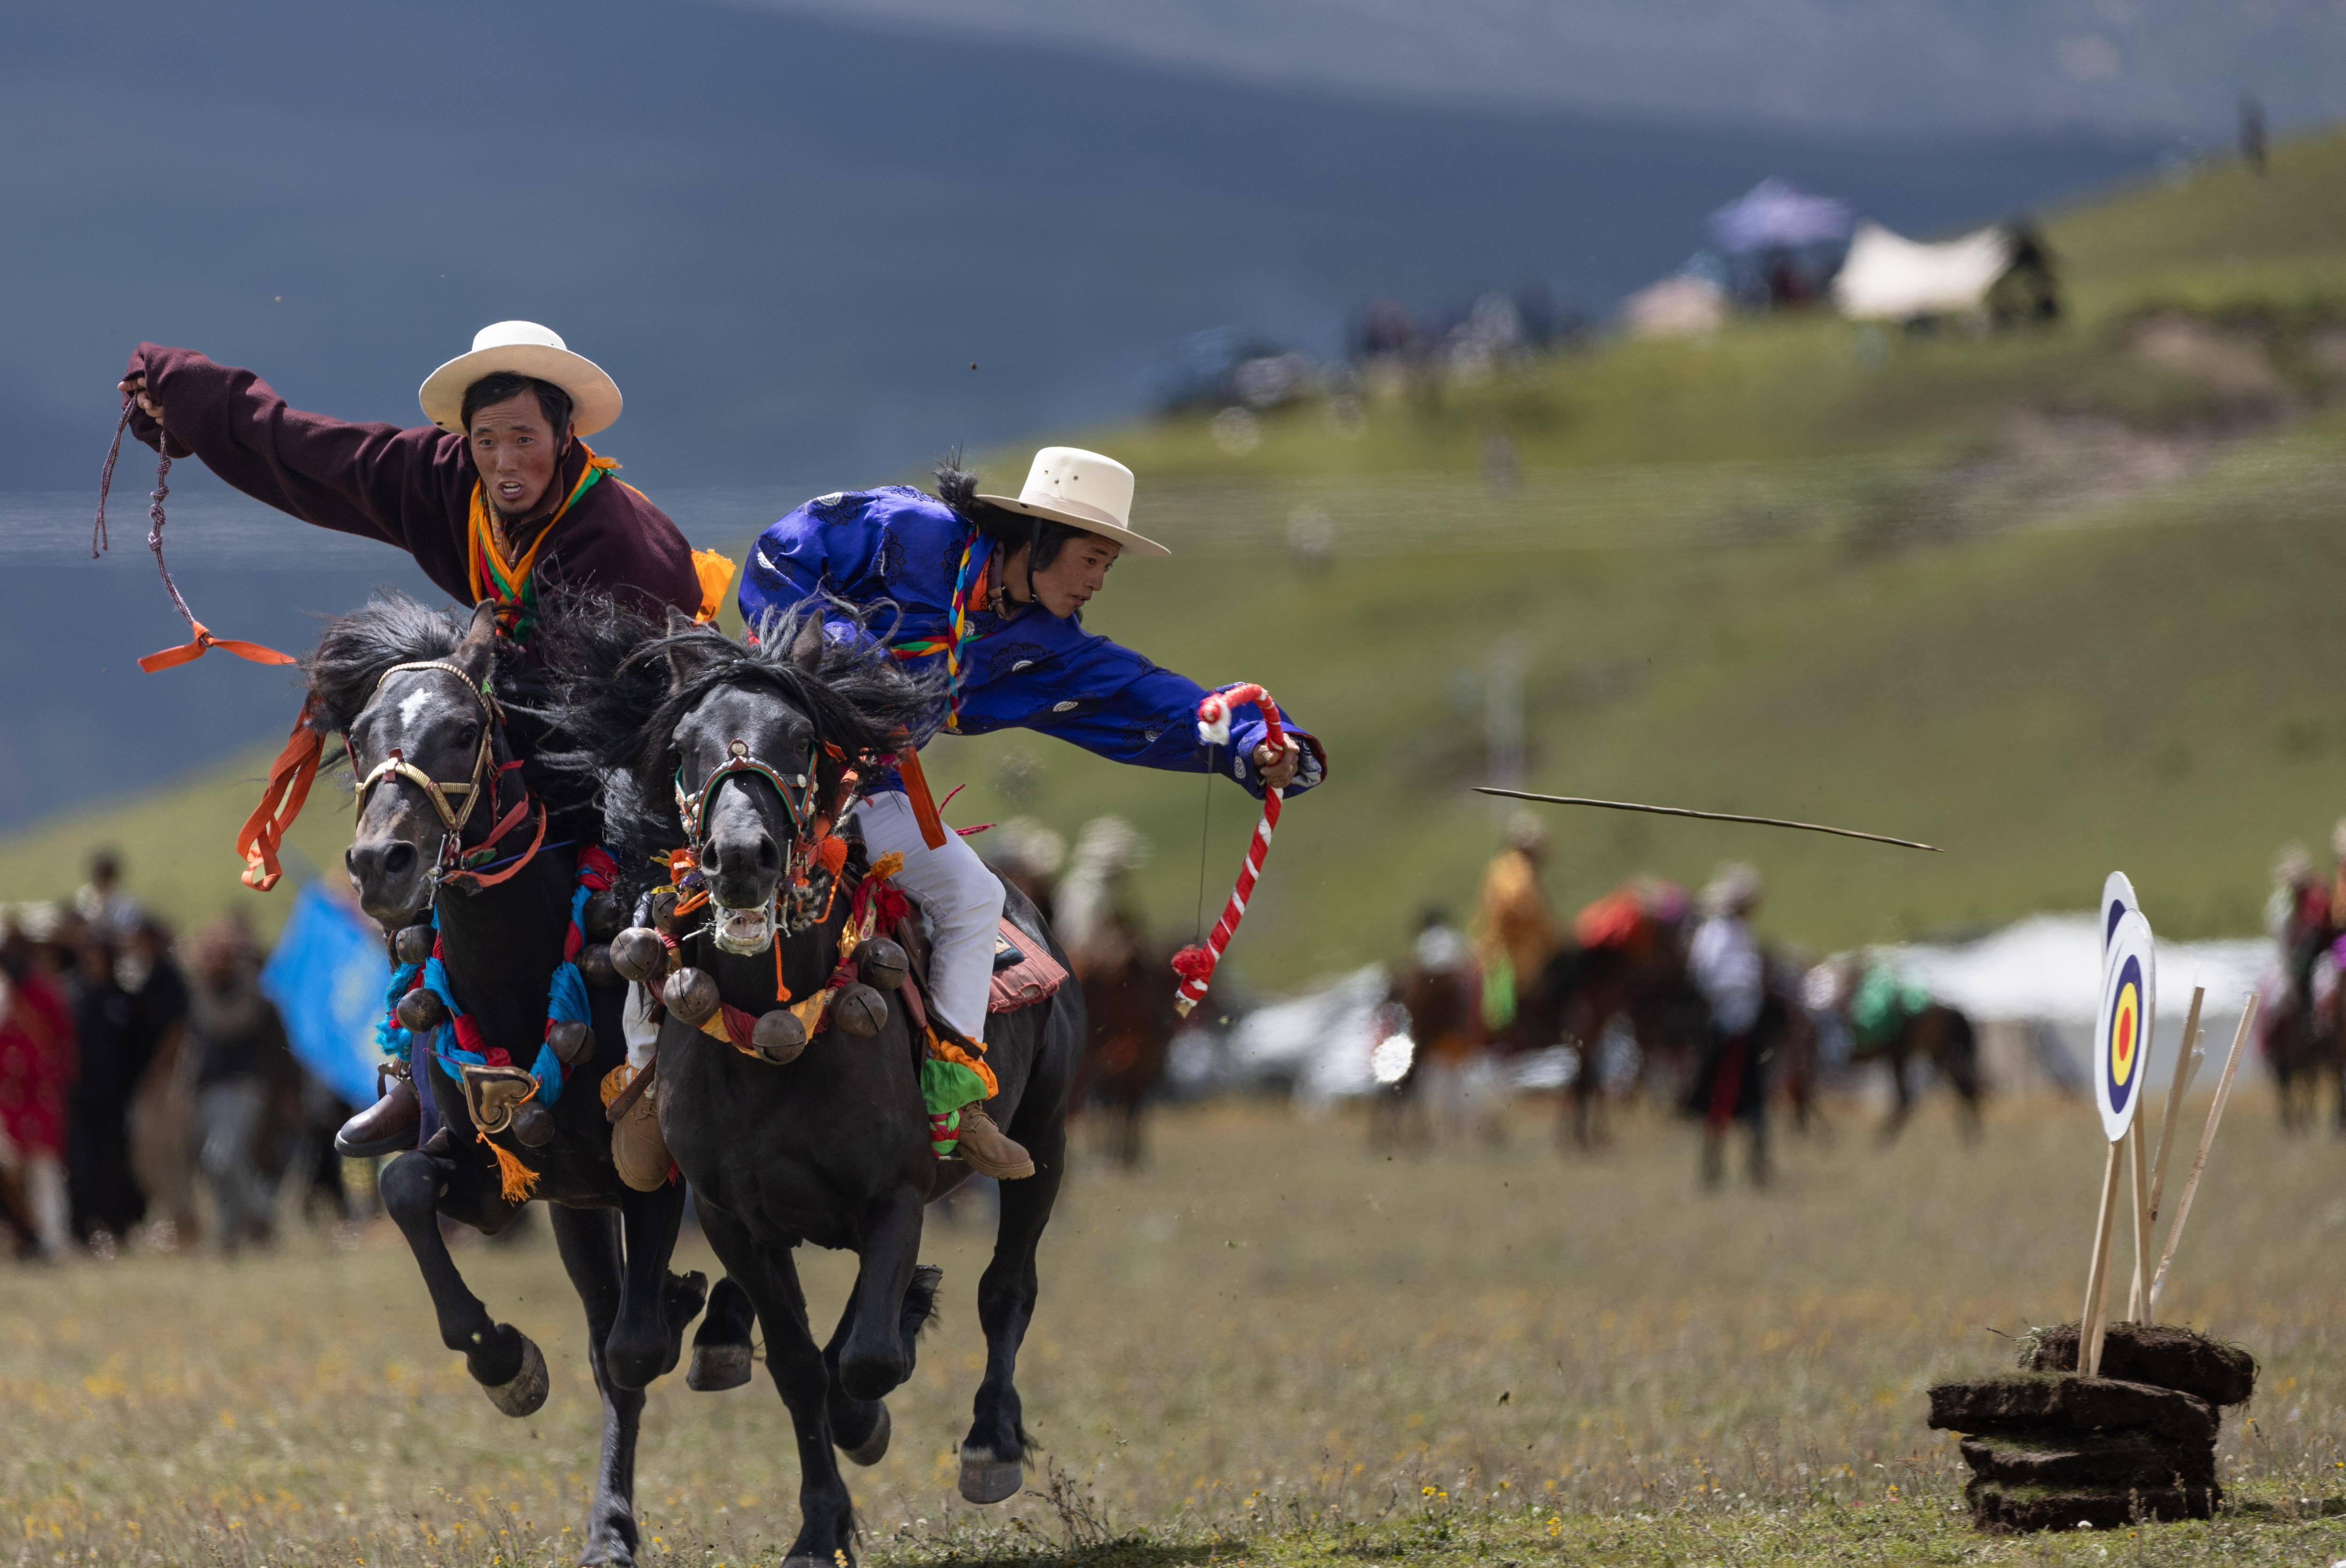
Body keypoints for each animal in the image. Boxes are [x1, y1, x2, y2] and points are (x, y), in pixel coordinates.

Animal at [312, 594, 727, 1558]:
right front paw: (506, 1360)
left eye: (464, 731)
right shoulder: (505, 1177)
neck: (520, 974)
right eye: (359, 732)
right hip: (578, 1210)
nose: (381, 862)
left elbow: (634, 1349)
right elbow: (404, 1185)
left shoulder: (654, 1175)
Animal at [558, 601, 1079, 1568]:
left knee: (1007, 1287)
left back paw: (990, 1442)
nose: (741, 858)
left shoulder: (897, 1193)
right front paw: (820, 1523)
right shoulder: (734, 1218)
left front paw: (866, 1423)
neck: (778, 1035)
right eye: (683, 743)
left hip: (1049, 1137)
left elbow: (867, 1358)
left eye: (802, 738)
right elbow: (805, 1364)